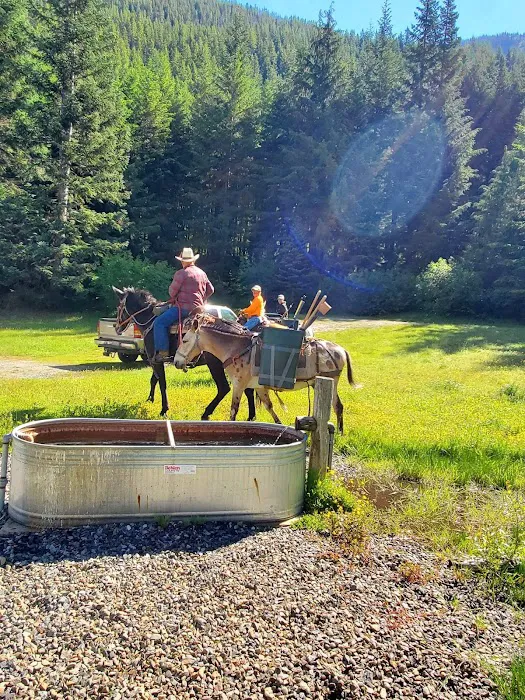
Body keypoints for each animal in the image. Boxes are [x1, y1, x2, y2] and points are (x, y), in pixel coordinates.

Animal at [112, 288, 255, 420]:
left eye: (119, 307)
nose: (116, 327)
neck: (150, 321)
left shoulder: (156, 360)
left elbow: (162, 383)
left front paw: (164, 410)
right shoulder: (155, 360)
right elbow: (154, 379)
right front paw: (150, 399)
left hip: (214, 364)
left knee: (224, 388)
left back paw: (206, 413)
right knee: (248, 389)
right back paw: (251, 417)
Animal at [174, 314, 358, 432]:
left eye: (185, 340)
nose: (176, 361)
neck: (237, 348)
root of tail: (340, 349)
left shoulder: (239, 385)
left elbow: (234, 410)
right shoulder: (259, 387)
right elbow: (270, 407)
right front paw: (280, 423)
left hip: (329, 382)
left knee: (337, 406)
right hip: (317, 383)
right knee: (338, 406)